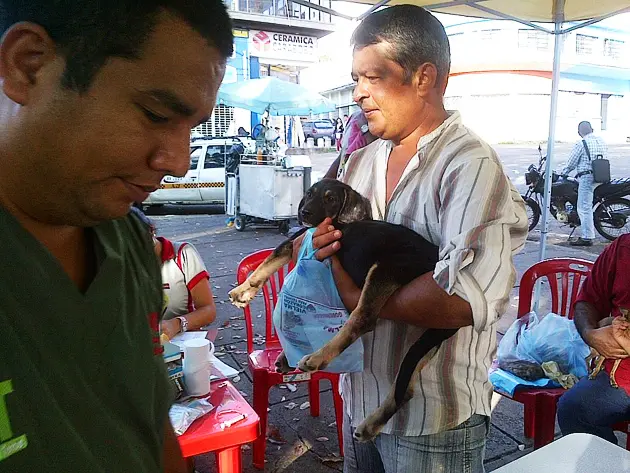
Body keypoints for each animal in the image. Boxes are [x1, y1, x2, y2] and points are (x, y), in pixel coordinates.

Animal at [230, 179, 456, 440]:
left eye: (331, 199)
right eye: (309, 194)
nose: (304, 212)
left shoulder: (300, 242)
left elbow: (268, 263)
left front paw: (242, 292)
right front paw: (286, 355)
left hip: (385, 270)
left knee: (362, 320)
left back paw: (316, 358)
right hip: (429, 335)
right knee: (406, 386)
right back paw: (371, 424)